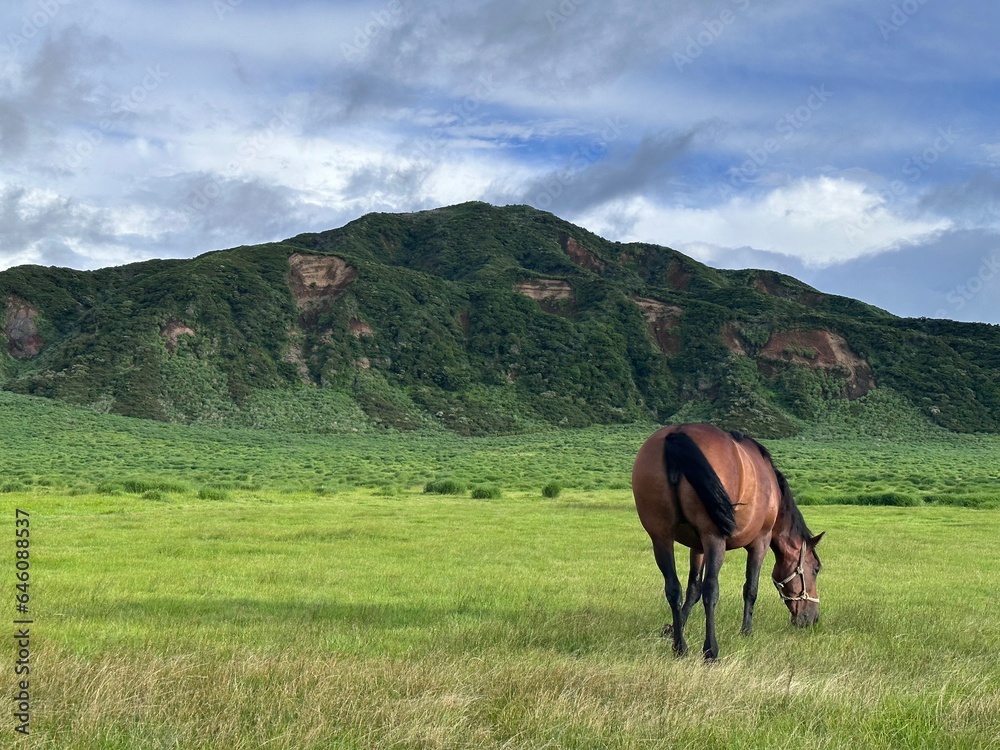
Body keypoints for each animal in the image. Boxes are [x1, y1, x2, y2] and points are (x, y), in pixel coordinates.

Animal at [632, 423, 823, 660]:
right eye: (815, 569)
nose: (813, 618)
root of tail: (676, 433)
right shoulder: (759, 542)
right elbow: (750, 588)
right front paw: (746, 631)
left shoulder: (697, 547)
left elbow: (692, 589)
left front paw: (674, 628)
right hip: (714, 539)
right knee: (711, 589)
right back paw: (710, 650)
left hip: (661, 538)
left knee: (673, 589)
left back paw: (680, 647)